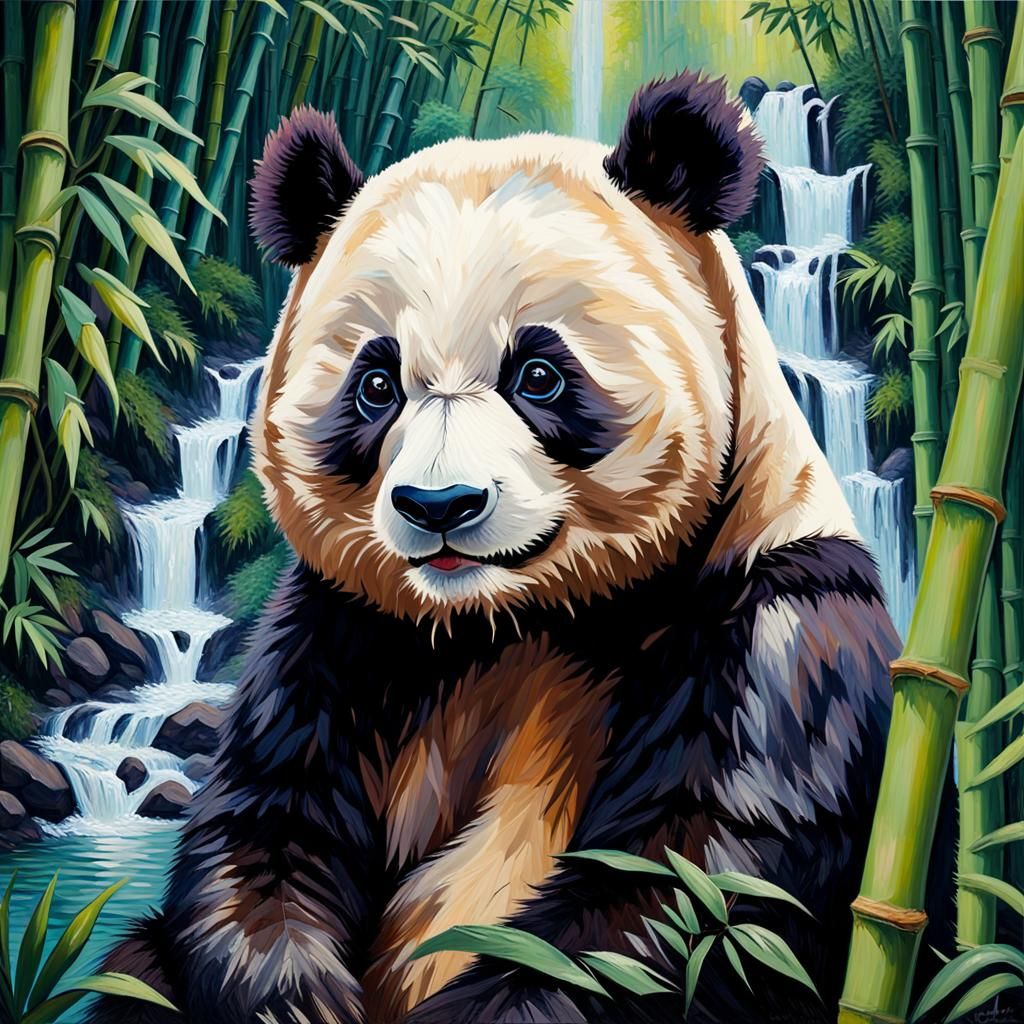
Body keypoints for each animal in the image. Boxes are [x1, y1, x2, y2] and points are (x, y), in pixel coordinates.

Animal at [92, 73, 903, 1024]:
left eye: (538, 374)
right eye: (377, 384)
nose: (440, 505)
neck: (509, 618)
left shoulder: (775, 633)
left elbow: (682, 896)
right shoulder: (343, 627)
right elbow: (270, 818)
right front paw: (296, 1000)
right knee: (137, 968)